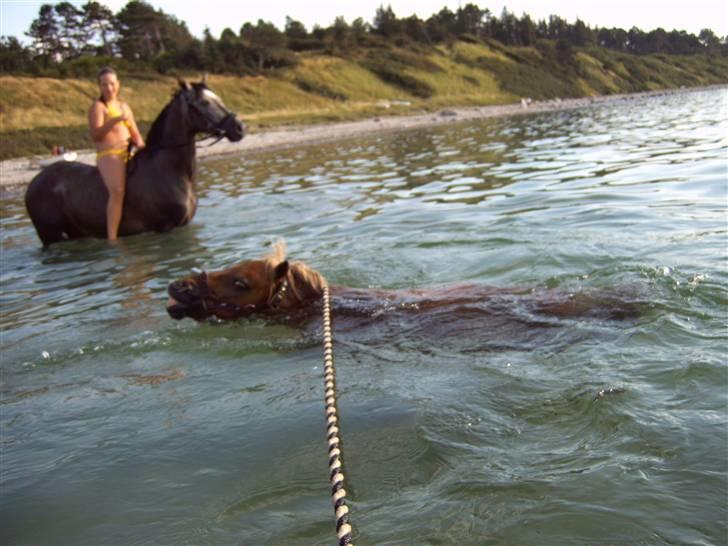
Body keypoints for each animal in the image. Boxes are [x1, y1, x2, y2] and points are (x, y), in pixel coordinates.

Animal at [24, 78, 245, 244]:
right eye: (205, 103)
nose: (239, 128)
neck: (167, 169)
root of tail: (34, 182)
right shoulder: (165, 228)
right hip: (50, 234)